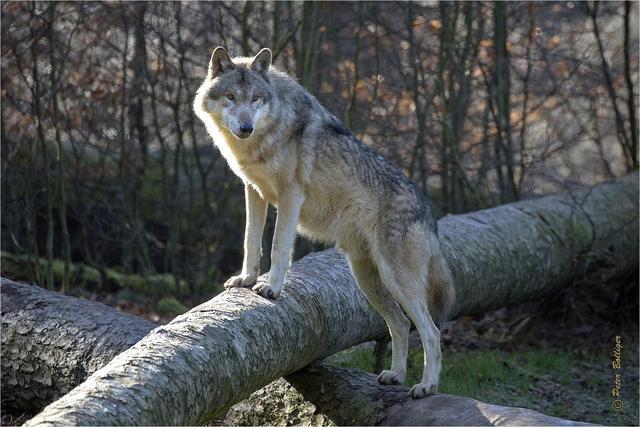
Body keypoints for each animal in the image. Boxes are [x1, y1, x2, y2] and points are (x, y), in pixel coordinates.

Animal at [194, 46, 456, 398]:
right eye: (231, 96)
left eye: (255, 99)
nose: (246, 127)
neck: (266, 134)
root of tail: (429, 214)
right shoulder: (253, 191)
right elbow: (251, 241)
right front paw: (246, 279)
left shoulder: (290, 195)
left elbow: (278, 247)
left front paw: (271, 288)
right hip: (367, 279)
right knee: (400, 324)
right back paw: (395, 376)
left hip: (397, 280)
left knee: (431, 331)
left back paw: (426, 386)